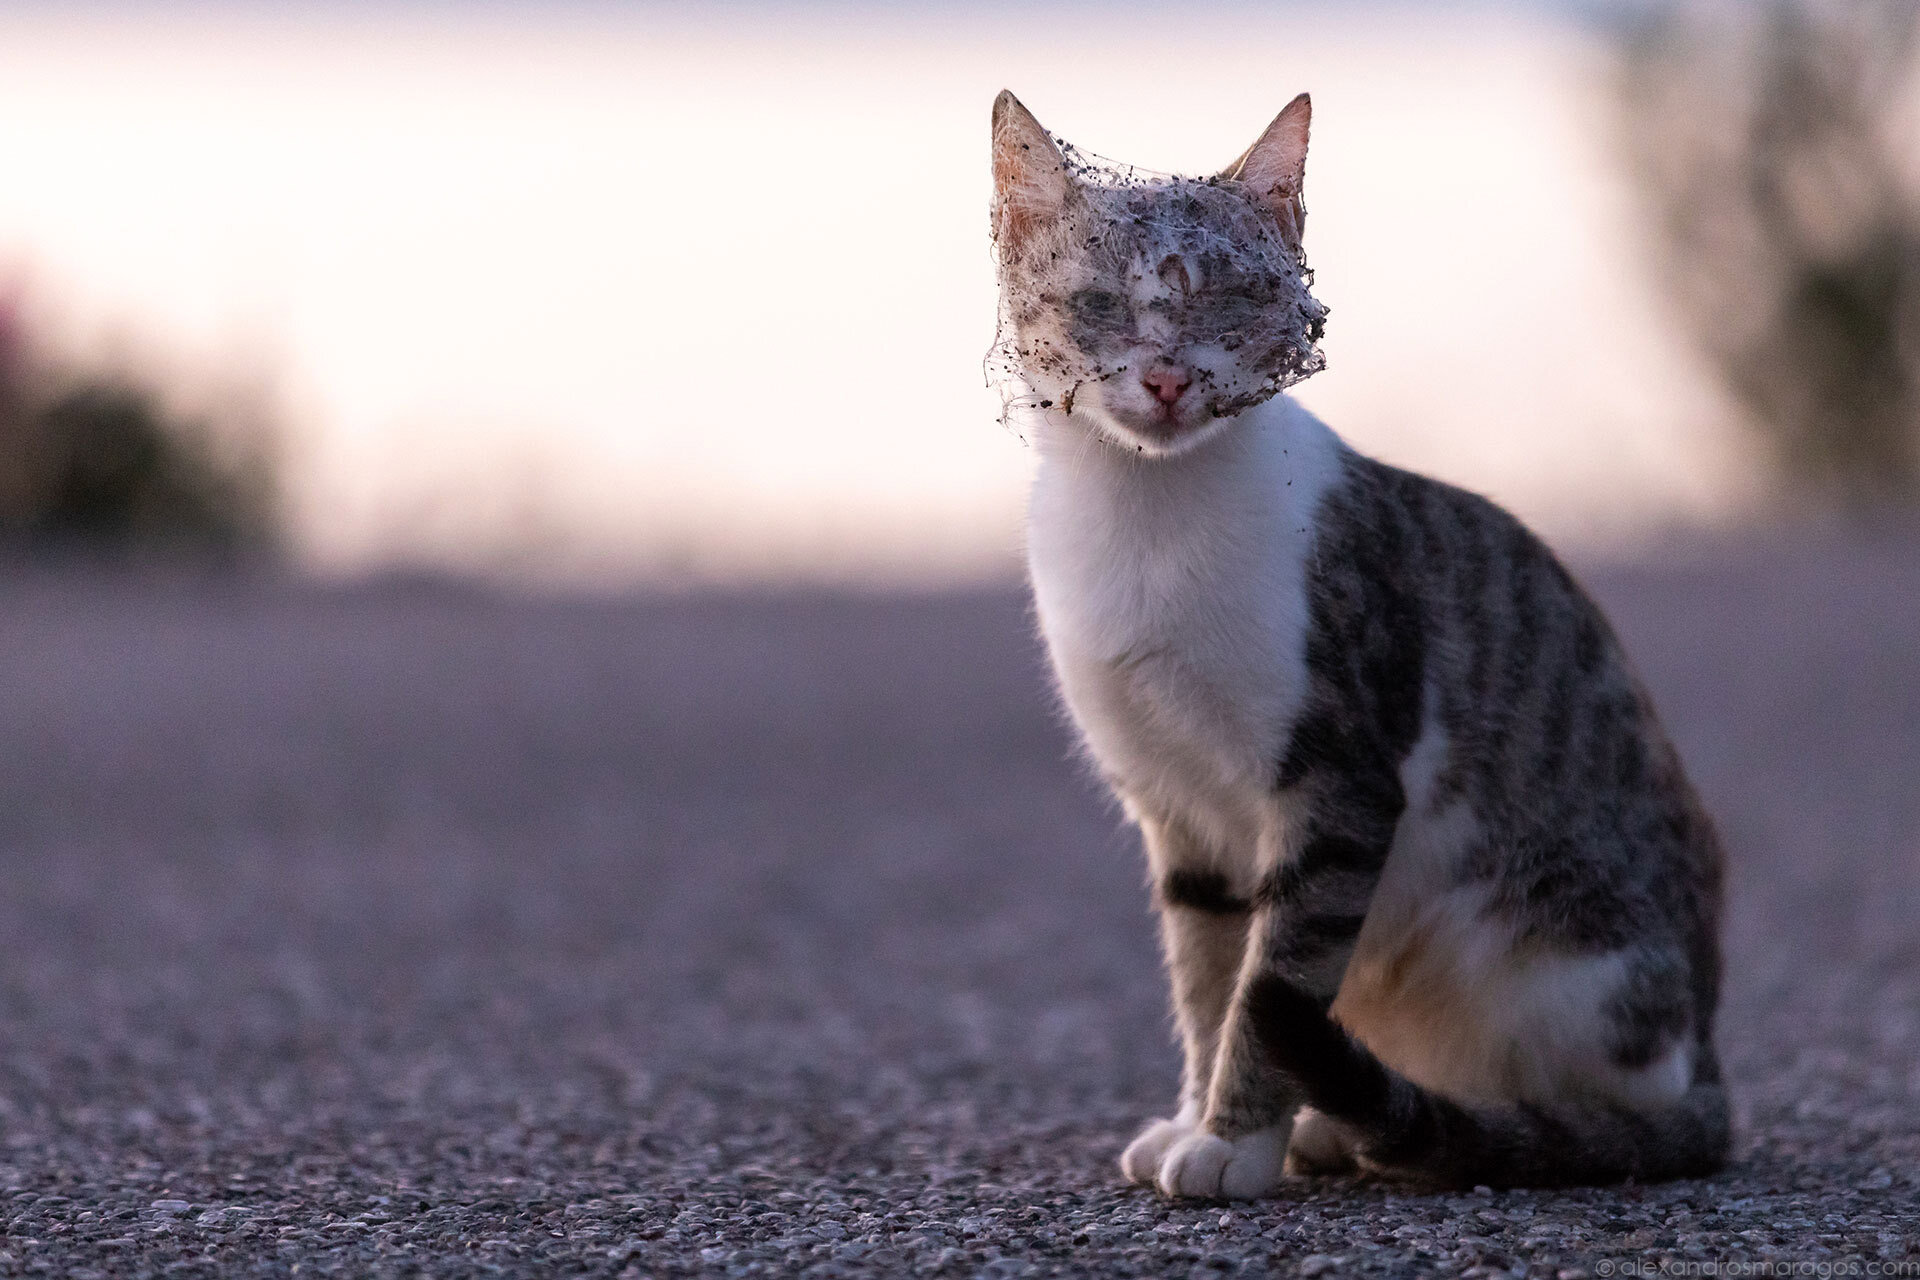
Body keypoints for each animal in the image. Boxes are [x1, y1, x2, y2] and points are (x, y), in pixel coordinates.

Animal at [998, 92, 1735, 1205]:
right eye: (1096, 304)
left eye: (1238, 298)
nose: (1166, 377)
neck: (1149, 525)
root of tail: (1710, 1051)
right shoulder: (1179, 814)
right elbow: (1208, 980)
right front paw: (1198, 1117)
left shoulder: (1339, 782)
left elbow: (1273, 980)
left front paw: (1233, 1139)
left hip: (1564, 962)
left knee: (1599, 1107)